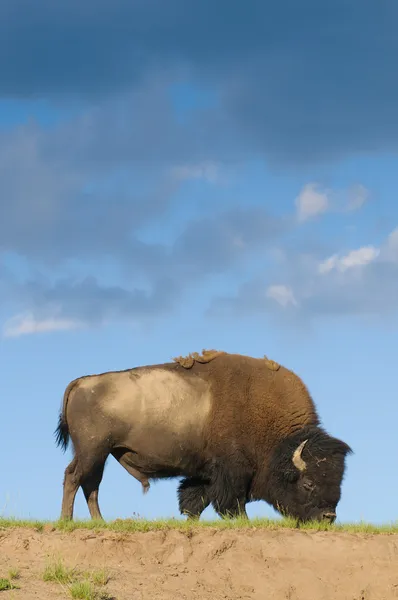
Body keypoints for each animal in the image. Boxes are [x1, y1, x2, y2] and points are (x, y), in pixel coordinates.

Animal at [55, 350, 352, 524]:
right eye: (309, 483)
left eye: (339, 481)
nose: (328, 517)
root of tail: (81, 382)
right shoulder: (232, 472)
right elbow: (232, 502)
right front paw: (242, 522)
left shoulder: (205, 473)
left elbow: (194, 500)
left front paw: (191, 521)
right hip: (93, 451)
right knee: (74, 477)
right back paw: (67, 521)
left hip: (100, 454)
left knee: (90, 484)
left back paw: (99, 522)